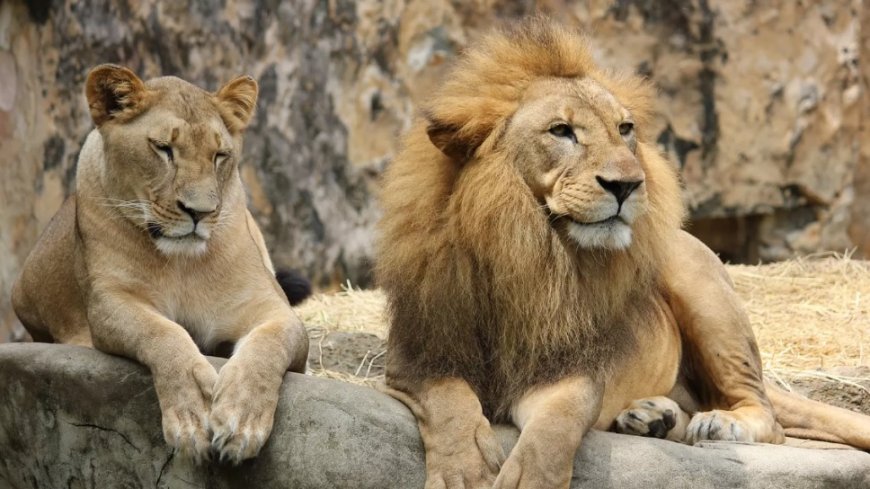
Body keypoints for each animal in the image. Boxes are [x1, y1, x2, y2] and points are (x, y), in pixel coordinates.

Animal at [11, 65, 309, 464]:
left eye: (220, 155)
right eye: (163, 148)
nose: (200, 212)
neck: (182, 264)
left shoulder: (272, 307)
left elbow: (270, 344)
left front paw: (242, 419)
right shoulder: (109, 302)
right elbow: (162, 332)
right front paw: (193, 412)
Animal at [376, 18, 870, 489]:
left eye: (624, 129)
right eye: (561, 131)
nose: (628, 185)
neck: (527, 250)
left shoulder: (570, 370)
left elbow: (551, 435)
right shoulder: (418, 357)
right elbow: (450, 404)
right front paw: (464, 471)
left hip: (701, 286)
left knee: (766, 414)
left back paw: (719, 423)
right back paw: (652, 417)